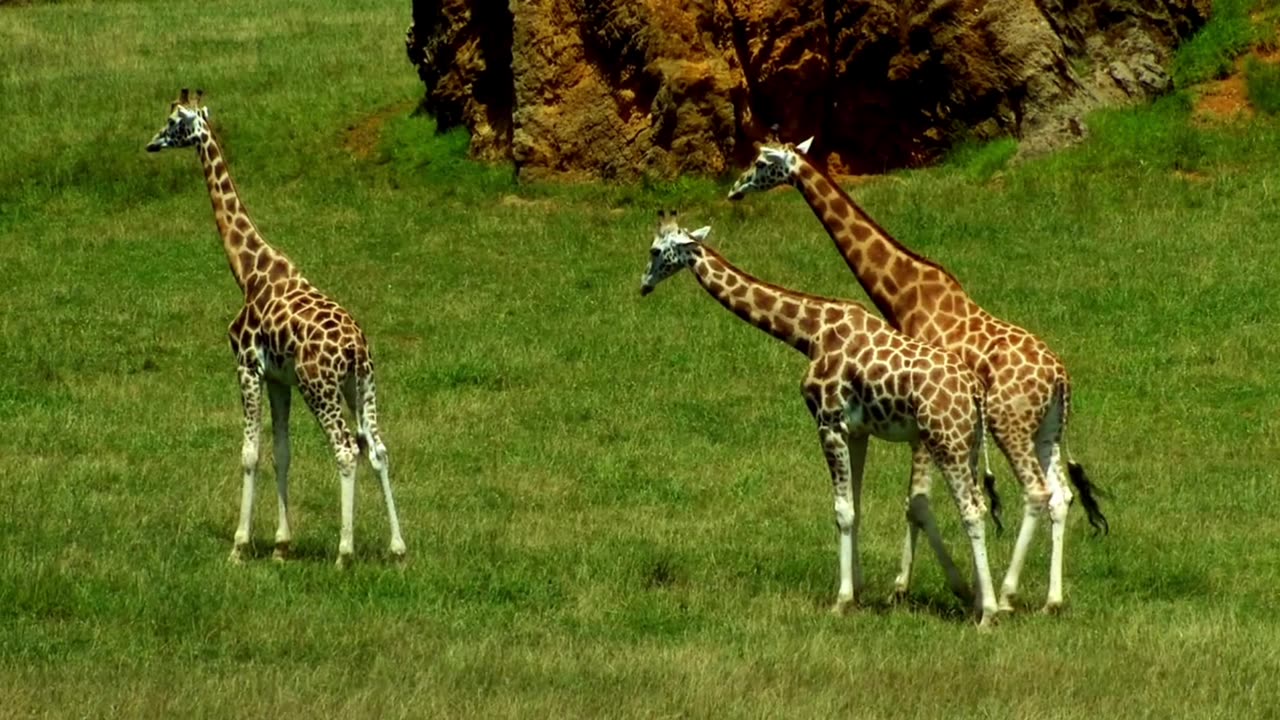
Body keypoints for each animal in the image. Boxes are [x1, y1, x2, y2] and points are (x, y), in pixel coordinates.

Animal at [145, 89, 407, 563]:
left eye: (174, 121)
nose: (151, 143)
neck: (249, 271)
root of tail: (355, 349)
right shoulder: (278, 378)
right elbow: (282, 452)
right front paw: (282, 546)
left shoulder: (247, 367)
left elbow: (250, 452)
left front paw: (239, 545)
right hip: (360, 385)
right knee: (376, 446)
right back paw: (397, 549)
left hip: (319, 387)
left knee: (346, 449)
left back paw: (344, 552)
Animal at [640, 210, 998, 625]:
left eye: (655, 250)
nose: (644, 285)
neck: (809, 332)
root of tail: (974, 390)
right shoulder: (856, 431)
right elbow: (855, 506)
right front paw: (857, 592)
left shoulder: (828, 422)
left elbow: (842, 510)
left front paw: (841, 600)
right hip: (967, 444)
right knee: (976, 504)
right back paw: (978, 601)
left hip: (946, 440)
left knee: (971, 510)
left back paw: (989, 613)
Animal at [732, 135, 1111, 609]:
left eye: (761, 162)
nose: (735, 188)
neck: (904, 291)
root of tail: (1061, 377)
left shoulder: (922, 421)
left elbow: (916, 501)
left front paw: (909, 586)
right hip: (1048, 428)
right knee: (1061, 495)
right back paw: (1050, 600)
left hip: (1009, 422)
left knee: (1037, 491)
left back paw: (1007, 593)